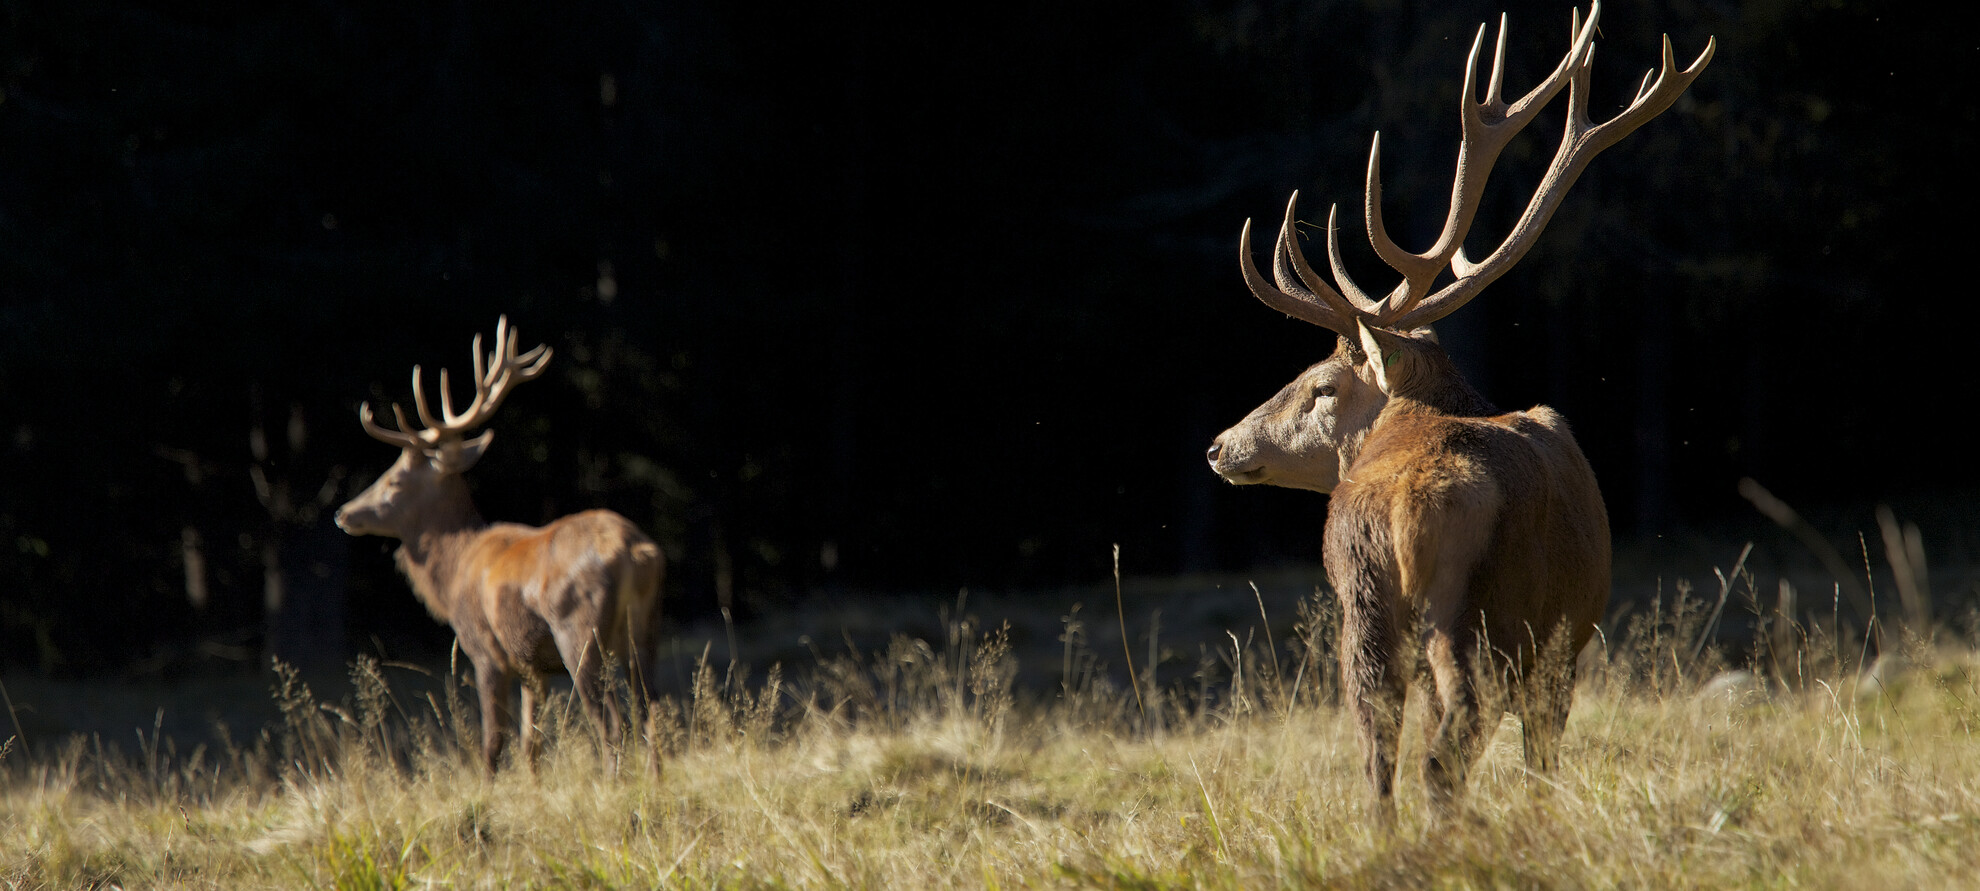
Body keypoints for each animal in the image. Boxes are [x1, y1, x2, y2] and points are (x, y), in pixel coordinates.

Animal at [332, 318, 657, 772]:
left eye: (393, 480)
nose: (344, 513)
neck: (453, 571)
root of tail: (636, 552)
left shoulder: (485, 650)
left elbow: (492, 744)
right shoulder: (532, 669)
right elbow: (529, 744)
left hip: (580, 633)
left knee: (612, 723)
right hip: (644, 634)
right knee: (651, 715)